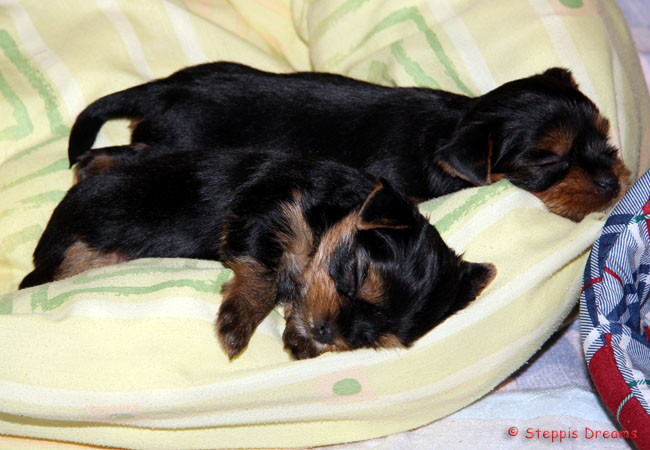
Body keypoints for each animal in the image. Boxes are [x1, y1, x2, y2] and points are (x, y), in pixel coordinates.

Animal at [20, 145, 496, 360]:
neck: (333, 209)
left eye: (371, 340)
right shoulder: (262, 214)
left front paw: (300, 338)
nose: (327, 333)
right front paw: (239, 321)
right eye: (354, 276)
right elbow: (264, 275)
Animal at [67, 62, 630, 221]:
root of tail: (165, 89)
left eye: (605, 137)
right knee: (107, 156)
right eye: (547, 159)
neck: (454, 128)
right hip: (176, 146)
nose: (613, 182)